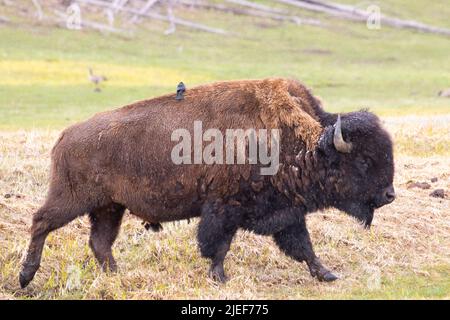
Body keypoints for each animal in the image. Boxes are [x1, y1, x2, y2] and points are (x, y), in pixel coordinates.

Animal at [19, 78, 396, 288]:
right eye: (364, 160)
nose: (389, 194)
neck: (308, 141)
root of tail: (65, 136)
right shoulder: (223, 208)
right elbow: (218, 245)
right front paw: (220, 278)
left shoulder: (287, 213)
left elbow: (303, 247)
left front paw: (327, 274)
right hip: (72, 200)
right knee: (41, 222)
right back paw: (26, 276)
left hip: (109, 207)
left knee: (99, 242)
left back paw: (116, 276)